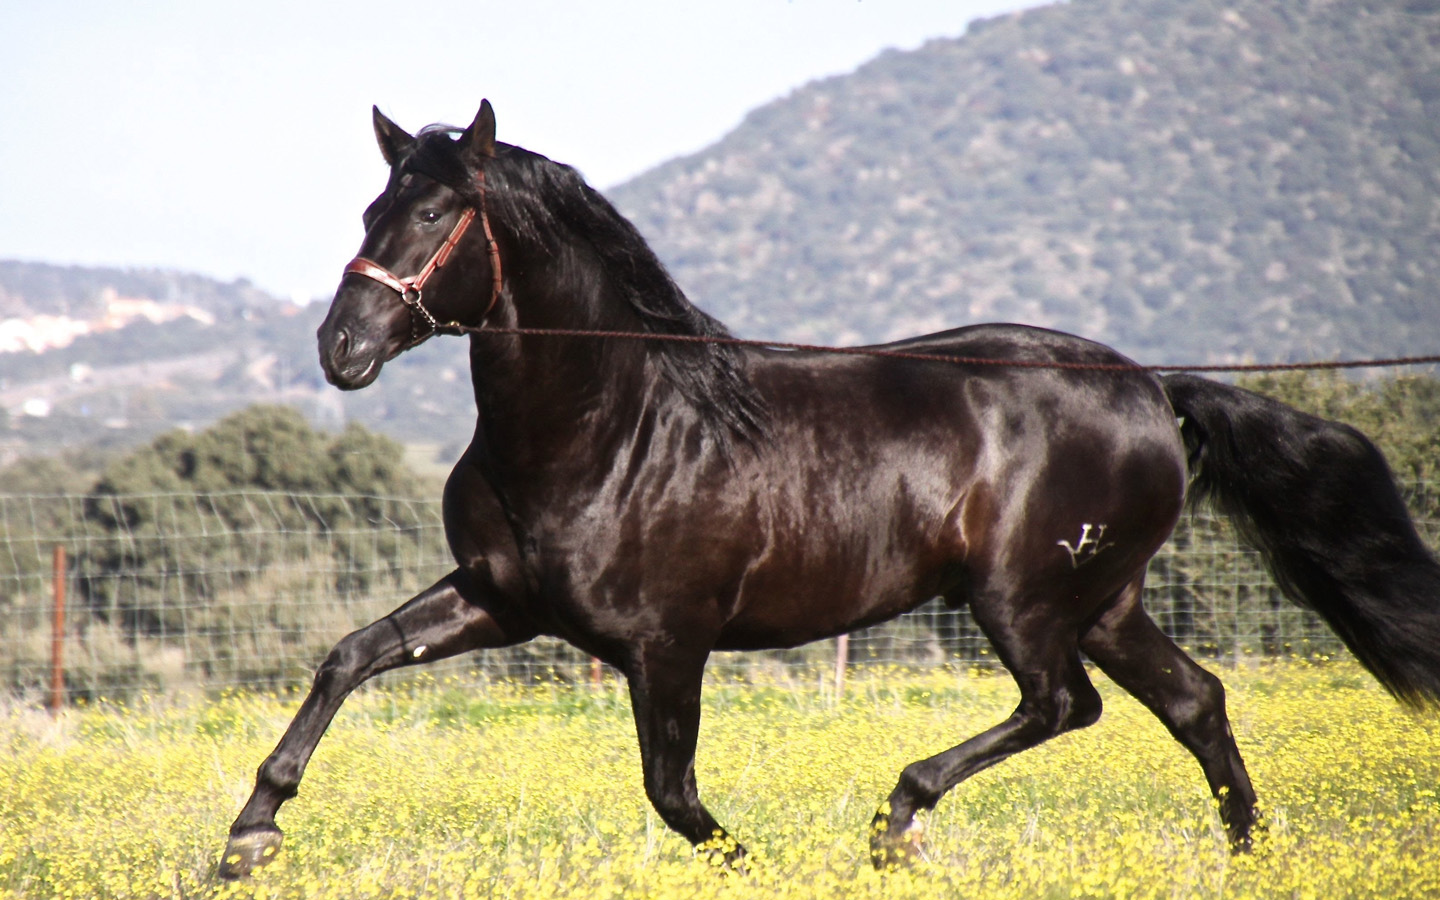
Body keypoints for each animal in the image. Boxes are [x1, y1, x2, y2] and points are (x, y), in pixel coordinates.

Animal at [218, 100, 1440, 875]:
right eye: (369, 214)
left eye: (433, 216)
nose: (339, 348)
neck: (608, 429)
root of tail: (1150, 388)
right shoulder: (497, 599)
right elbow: (347, 658)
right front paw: (249, 835)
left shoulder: (667, 643)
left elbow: (674, 796)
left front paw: (759, 861)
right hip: (1103, 600)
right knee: (1195, 704)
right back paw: (1249, 857)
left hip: (1022, 600)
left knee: (1063, 706)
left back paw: (897, 820)